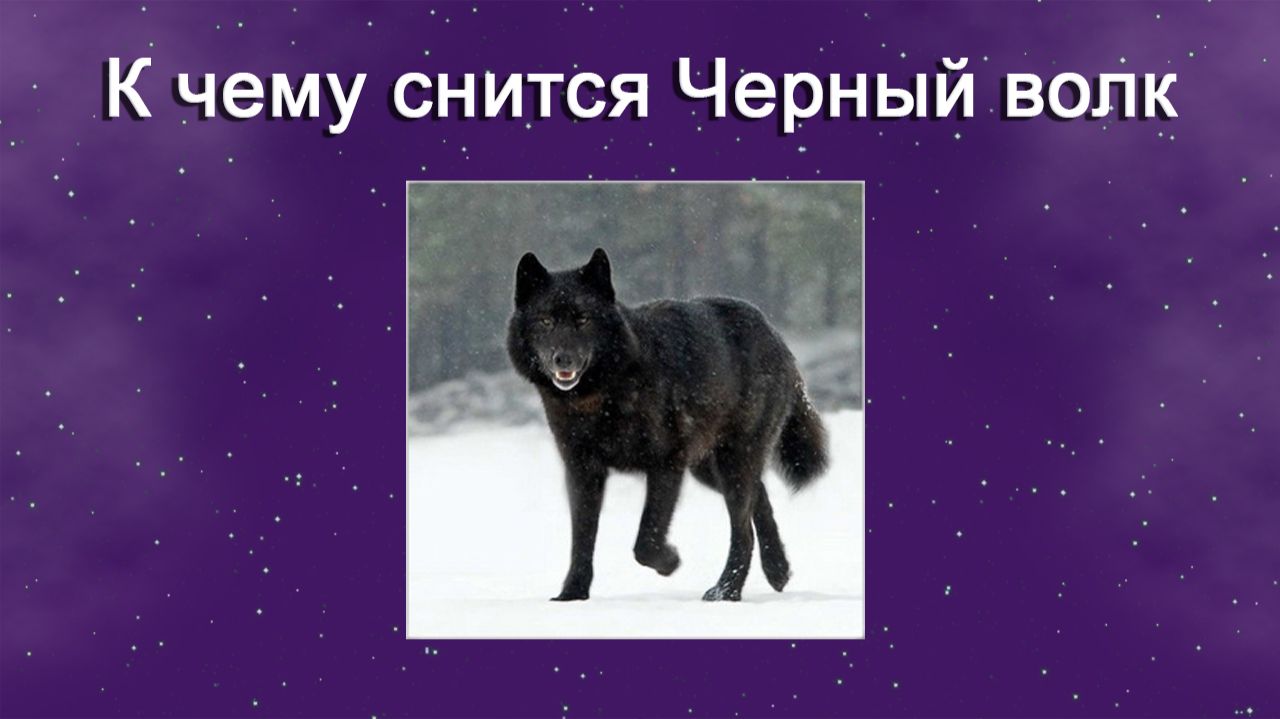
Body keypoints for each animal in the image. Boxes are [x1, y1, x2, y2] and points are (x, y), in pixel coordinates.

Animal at [506, 248, 828, 601]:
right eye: (546, 321)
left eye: (582, 319)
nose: (562, 358)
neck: (604, 394)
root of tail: (774, 333)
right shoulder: (582, 470)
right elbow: (582, 538)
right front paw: (572, 595)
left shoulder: (666, 465)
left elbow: (645, 541)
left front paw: (670, 561)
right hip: (708, 469)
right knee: (760, 499)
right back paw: (777, 571)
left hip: (732, 464)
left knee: (743, 529)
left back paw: (726, 591)